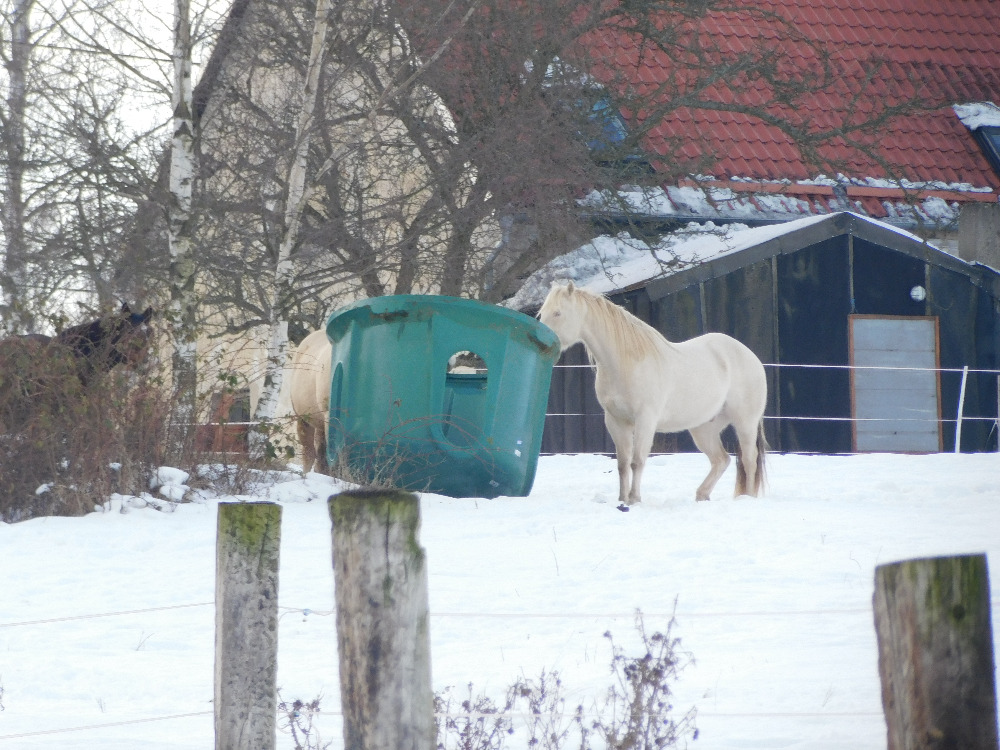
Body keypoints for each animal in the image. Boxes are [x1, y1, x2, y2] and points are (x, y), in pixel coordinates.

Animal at [540, 284, 764, 512]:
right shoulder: (615, 421)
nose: (546, 345)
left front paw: (634, 499)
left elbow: (637, 461)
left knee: (749, 459)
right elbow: (622, 463)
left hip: (745, 423)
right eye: (542, 313)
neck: (627, 363)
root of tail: (750, 356)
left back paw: (748, 498)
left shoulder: (645, 420)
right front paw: (622, 499)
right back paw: (702, 495)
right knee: (721, 460)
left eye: (558, 313)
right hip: (703, 429)